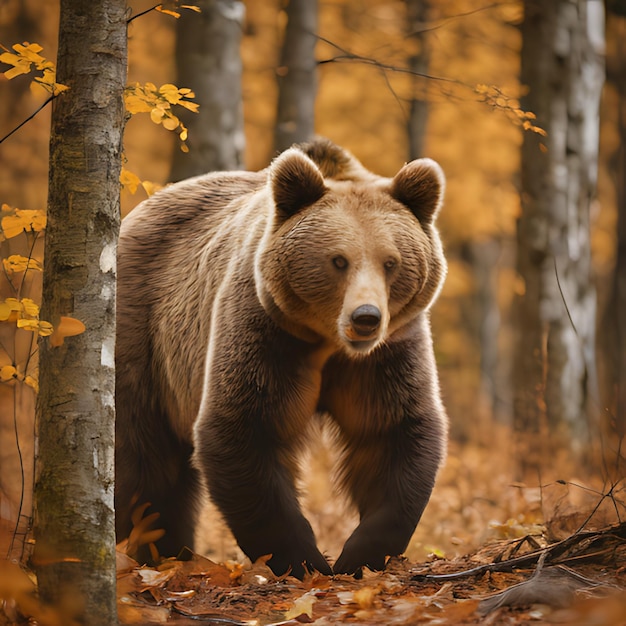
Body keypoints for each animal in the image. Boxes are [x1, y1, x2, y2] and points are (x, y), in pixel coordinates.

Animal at [114, 136, 446, 576]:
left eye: (391, 262)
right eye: (338, 260)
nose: (366, 318)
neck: (327, 342)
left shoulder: (385, 355)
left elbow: (392, 432)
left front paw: (360, 556)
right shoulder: (267, 333)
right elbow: (244, 428)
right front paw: (302, 560)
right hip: (144, 332)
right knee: (143, 454)